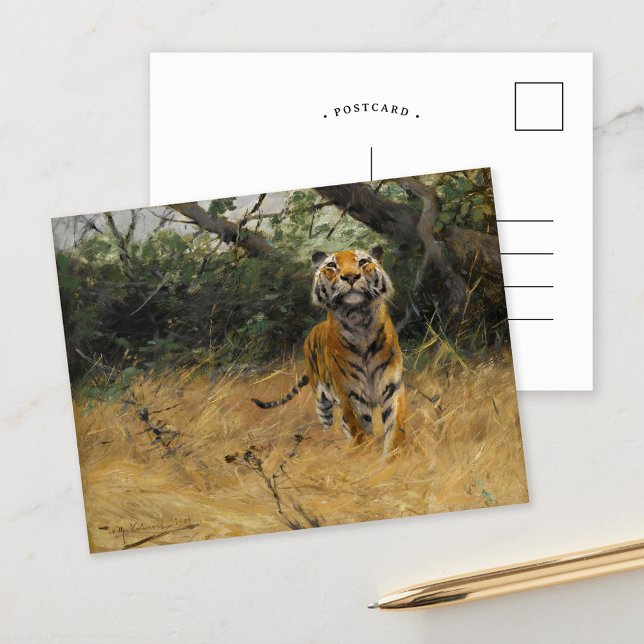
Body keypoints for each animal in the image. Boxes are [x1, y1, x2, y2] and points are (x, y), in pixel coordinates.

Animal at [252, 245, 406, 456]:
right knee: (329, 423)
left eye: (363, 261)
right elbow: (361, 429)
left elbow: (394, 426)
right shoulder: (350, 393)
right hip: (321, 400)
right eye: (332, 265)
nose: (350, 276)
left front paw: (392, 457)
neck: (359, 319)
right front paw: (366, 456)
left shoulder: (392, 385)